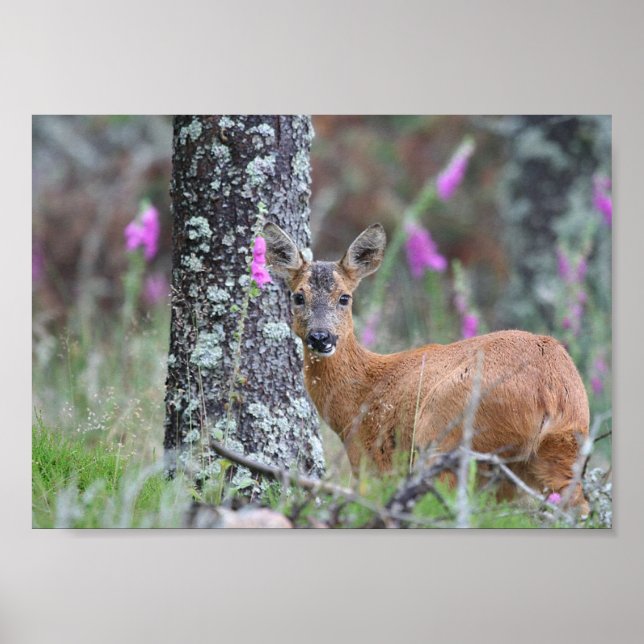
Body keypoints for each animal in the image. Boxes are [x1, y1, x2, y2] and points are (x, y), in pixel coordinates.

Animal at [264, 222, 591, 515]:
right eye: (298, 296)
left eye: (344, 297)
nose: (321, 337)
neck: (360, 396)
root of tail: (551, 390)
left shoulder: (371, 460)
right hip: (561, 450)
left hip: (445, 435)